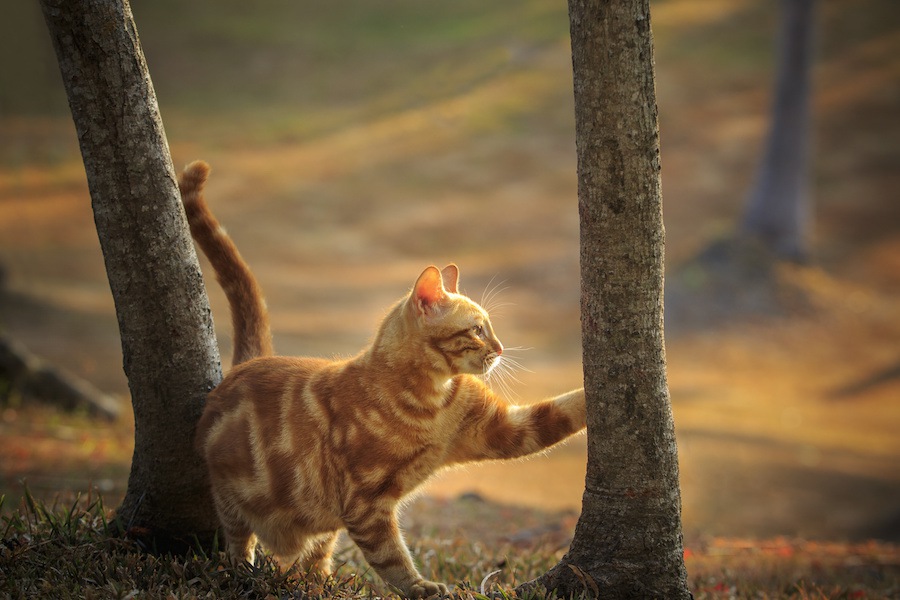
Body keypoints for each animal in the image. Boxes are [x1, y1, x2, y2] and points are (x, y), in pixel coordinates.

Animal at [179, 162, 588, 596]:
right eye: (478, 330)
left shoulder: (504, 430)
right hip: (233, 500)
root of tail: (248, 363)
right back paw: (244, 574)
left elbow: (561, 411)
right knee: (239, 543)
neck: (433, 399)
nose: (501, 347)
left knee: (315, 558)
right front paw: (420, 588)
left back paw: (320, 585)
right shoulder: (365, 502)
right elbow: (391, 557)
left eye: (489, 328)